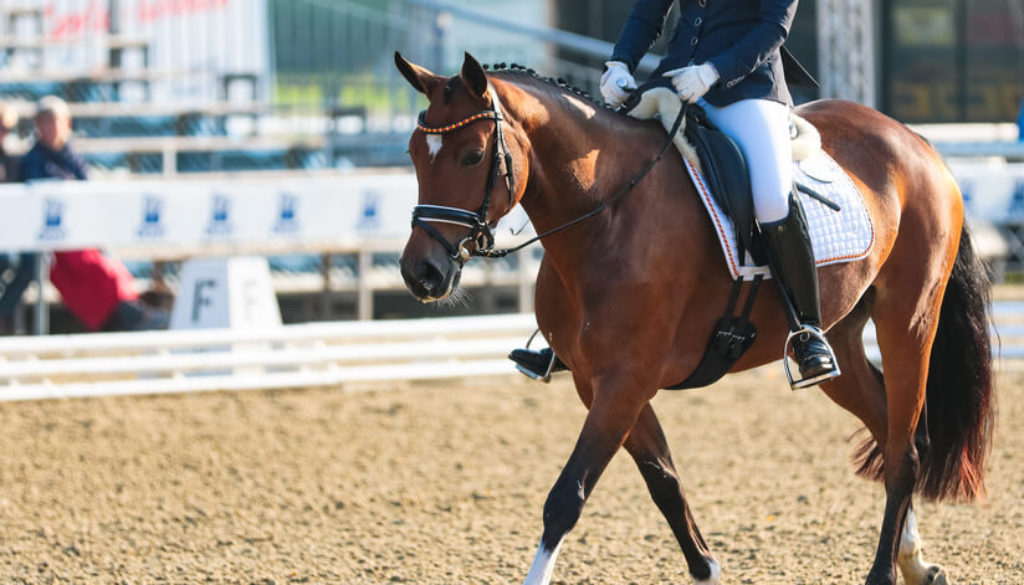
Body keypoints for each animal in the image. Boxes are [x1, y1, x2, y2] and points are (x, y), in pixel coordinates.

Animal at [391, 51, 991, 585]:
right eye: (415, 153)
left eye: (473, 156)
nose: (421, 273)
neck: (608, 214)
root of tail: (915, 141)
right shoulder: (598, 382)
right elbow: (664, 483)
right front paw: (706, 569)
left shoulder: (625, 381)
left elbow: (566, 498)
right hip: (839, 341)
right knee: (888, 430)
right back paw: (915, 563)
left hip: (908, 322)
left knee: (905, 452)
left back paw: (884, 572)